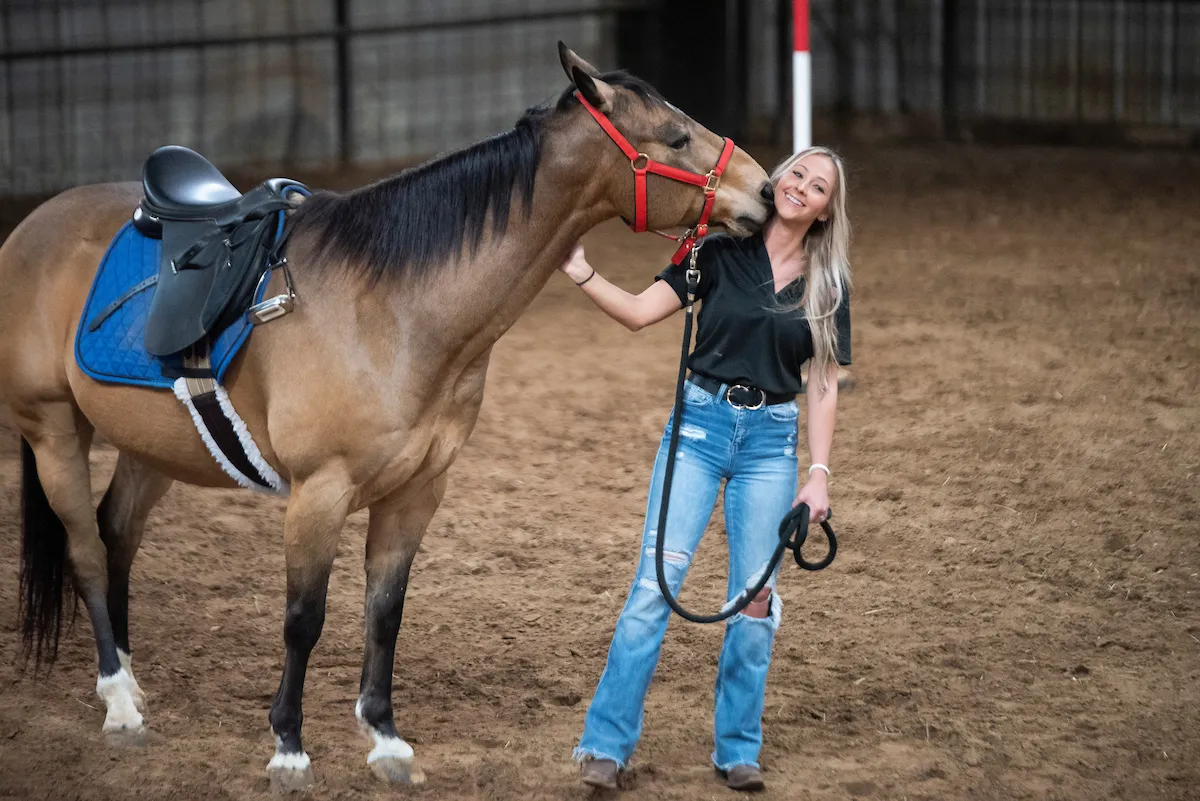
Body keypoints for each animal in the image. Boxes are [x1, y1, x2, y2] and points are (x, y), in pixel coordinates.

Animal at [0, 44, 772, 791]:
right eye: (676, 137)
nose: (765, 190)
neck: (394, 305)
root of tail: (33, 227)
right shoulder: (319, 493)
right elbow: (303, 619)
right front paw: (289, 749)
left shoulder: (415, 491)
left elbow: (385, 611)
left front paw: (386, 740)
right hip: (53, 432)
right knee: (87, 551)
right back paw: (119, 701)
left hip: (152, 446)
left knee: (117, 535)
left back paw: (130, 682)